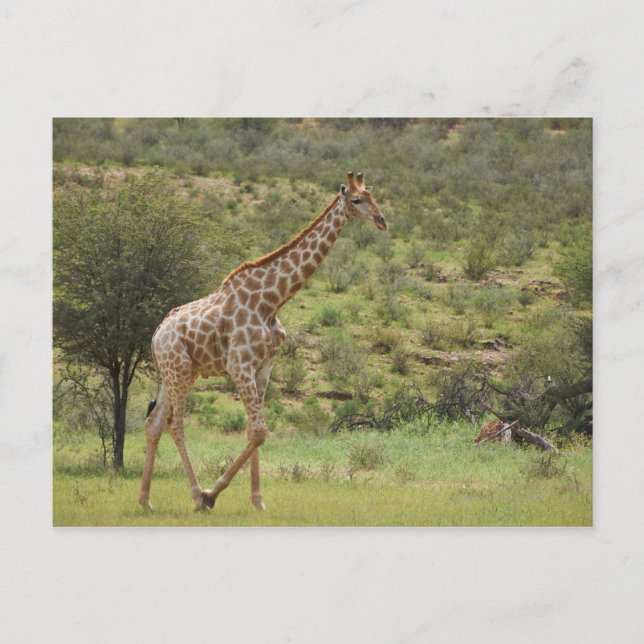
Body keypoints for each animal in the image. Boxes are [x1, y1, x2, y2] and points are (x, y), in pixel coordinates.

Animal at [138, 171, 388, 512]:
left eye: (374, 196)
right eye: (357, 200)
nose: (382, 220)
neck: (272, 301)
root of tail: (156, 334)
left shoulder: (263, 366)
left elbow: (252, 430)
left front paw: (258, 501)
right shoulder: (239, 364)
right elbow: (259, 430)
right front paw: (213, 494)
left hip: (173, 373)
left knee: (154, 422)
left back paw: (145, 501)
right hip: (180, 371)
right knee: (175, 424)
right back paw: (196, 495)